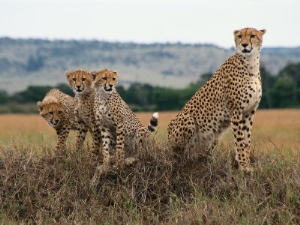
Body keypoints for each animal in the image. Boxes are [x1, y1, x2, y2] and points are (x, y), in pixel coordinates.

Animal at [168, 27, 266, 171]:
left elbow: (246, 140)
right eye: (239, 36)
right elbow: (240, 140)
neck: (251, 63)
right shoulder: (236, 111)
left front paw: (246, 163)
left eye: (252, 36)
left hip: (213, 138)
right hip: (187, 119)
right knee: (178, 155)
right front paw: (243, 166)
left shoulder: (249, 112)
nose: (244, 45)